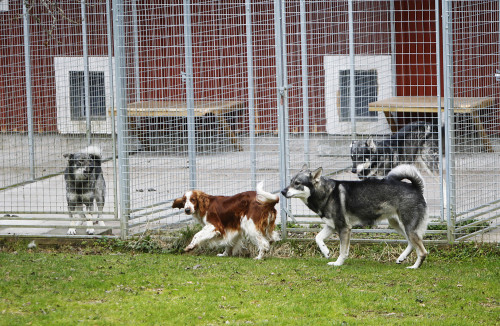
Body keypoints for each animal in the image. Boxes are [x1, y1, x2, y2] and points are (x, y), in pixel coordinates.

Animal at [282, 164, 430, 268]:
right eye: (290, 181)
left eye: (297, 183)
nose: (282, 191)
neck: (327, 193)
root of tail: (416, 187)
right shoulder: (332, 226)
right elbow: (317, 238)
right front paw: (326, 252)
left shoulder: (344, 228)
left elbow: (342, 250)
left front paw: (338, 263)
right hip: (398, 225)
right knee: (412, 243)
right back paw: (402, 258)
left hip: (408, 227)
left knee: (422, 251)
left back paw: (414, 266)